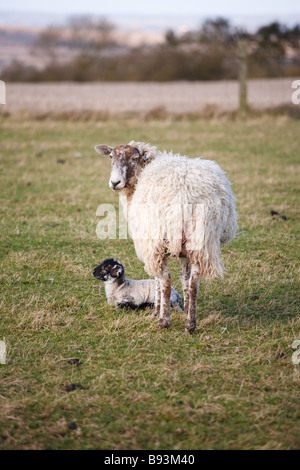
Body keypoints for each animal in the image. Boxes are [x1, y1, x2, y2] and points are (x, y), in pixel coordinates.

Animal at [95, 141, 238, 332]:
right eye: (111, 157)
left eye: (134, 158)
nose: (115, 182)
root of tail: (185, 194)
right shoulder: (185, 252)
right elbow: (185, 279)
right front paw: (186, 309)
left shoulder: (150, 244)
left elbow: (157, 281)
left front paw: (156, 313)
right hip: (199, 240)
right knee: (194, 282)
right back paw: (190, 325)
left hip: (159, 239)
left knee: (166, 280)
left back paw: (163, 321)